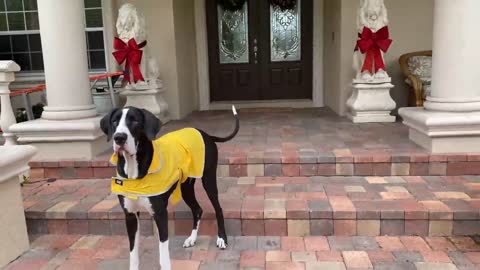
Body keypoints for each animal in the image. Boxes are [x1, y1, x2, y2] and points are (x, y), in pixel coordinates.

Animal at [100, 105, 239, 270]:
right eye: (114, 121)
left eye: (135, 121)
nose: (119, 137)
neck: (134, 169)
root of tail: (205, 134)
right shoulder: (130, 215)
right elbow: (133, 252)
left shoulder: (160, 214)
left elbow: (163, 253)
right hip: (186, 188)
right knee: (197, 210)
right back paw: (192, 238)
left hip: (209, 181)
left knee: (218, 209)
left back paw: (222, 238)